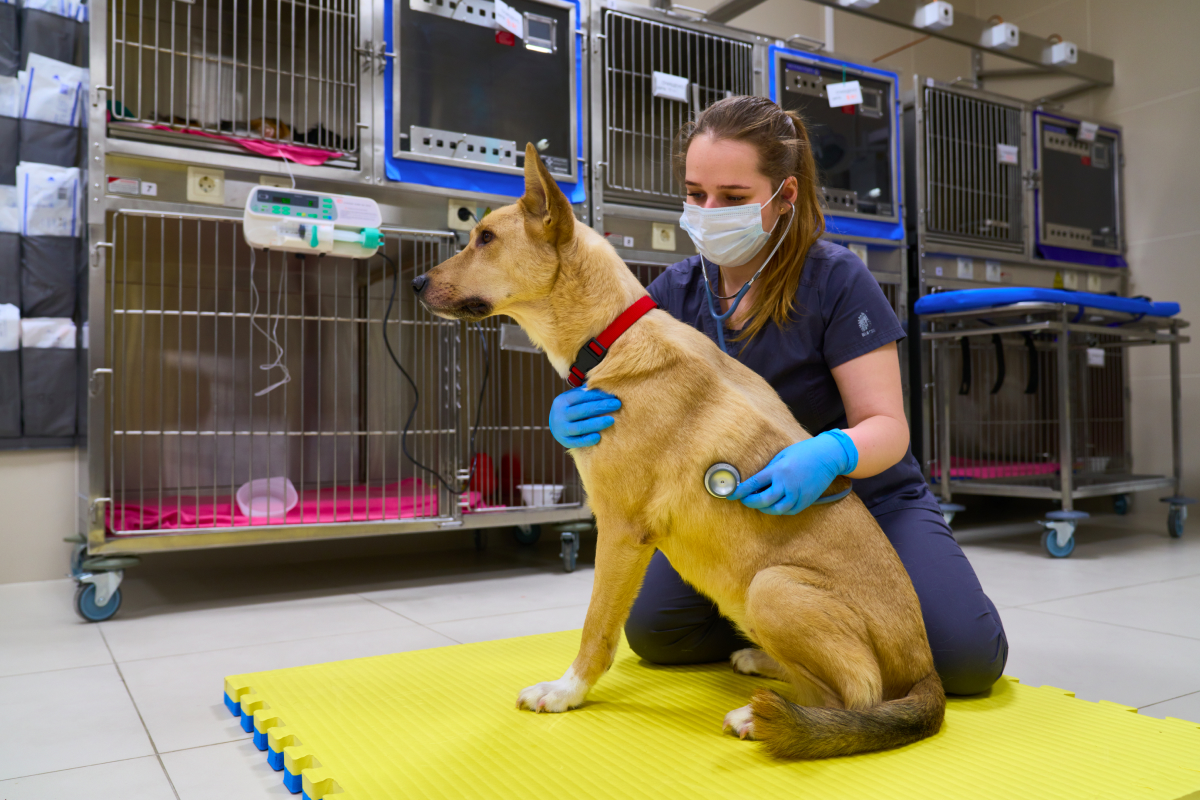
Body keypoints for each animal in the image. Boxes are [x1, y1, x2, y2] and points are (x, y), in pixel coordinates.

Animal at [417, 145, 940, 762]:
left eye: (487, 238)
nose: (415, 282)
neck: (609, 337)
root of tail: (927, 669)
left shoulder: (620, 530)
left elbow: (596, 629)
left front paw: (566, 692)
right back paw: (761, 662)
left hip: (772, 587)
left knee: (857, 696)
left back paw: (759, 717)